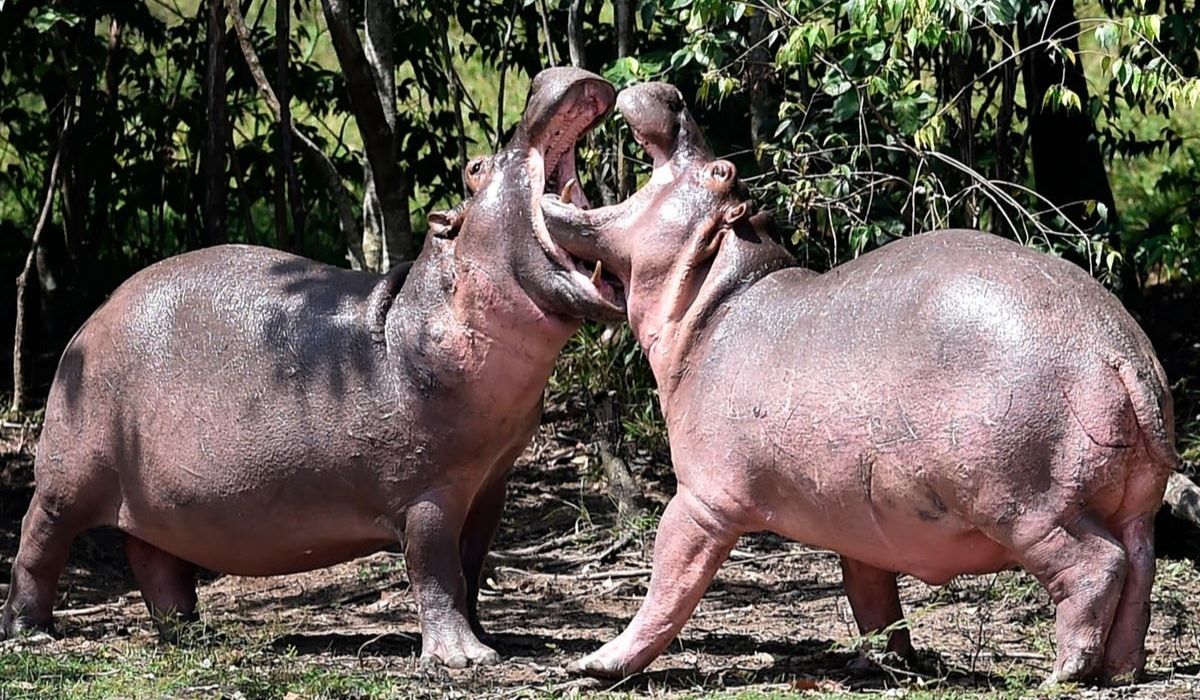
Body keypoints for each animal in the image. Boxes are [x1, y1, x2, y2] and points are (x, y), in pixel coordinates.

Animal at [1, 67, 625, 669]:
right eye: (474, 168)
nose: (546, 78)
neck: (426, 310)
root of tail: (95, 314)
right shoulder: (427, 493)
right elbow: (436, 573)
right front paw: (464, 659)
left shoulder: (490, 484)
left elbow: (471, 571)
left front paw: (492, 638)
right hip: (69, 476)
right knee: (38, 540)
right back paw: (30, 632)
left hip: (158, 498)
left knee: (154, 558)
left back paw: (194, 635)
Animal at [542, 83, 1177, 685]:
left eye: (718, 171)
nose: (672, 95)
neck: (718, 297)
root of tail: (1116, 350)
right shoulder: (858, 524)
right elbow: (872, 598)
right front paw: (883, 666)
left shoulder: (701, 500)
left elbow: (667, 584)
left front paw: (592, 666)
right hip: (1132, 502)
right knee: (1140, 571)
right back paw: (1123, 671)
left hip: (1023, 504)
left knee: (1096, 567)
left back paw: (1063, 673)